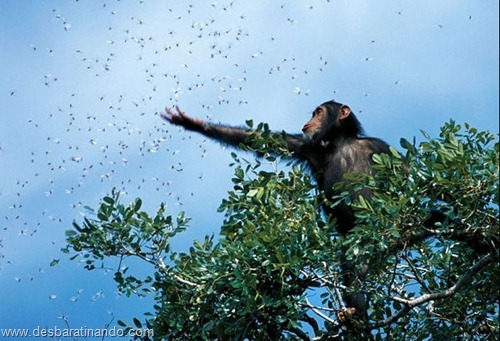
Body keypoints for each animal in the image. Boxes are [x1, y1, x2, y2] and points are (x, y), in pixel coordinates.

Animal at [162, 100, 392, 322]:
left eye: (318, 112)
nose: (310, 119)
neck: (340, 143)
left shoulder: (379, 147)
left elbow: (398, 171)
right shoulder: (307, 148)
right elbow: (265, 139)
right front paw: (193, 123)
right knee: (354, 266)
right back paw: (355, 314)